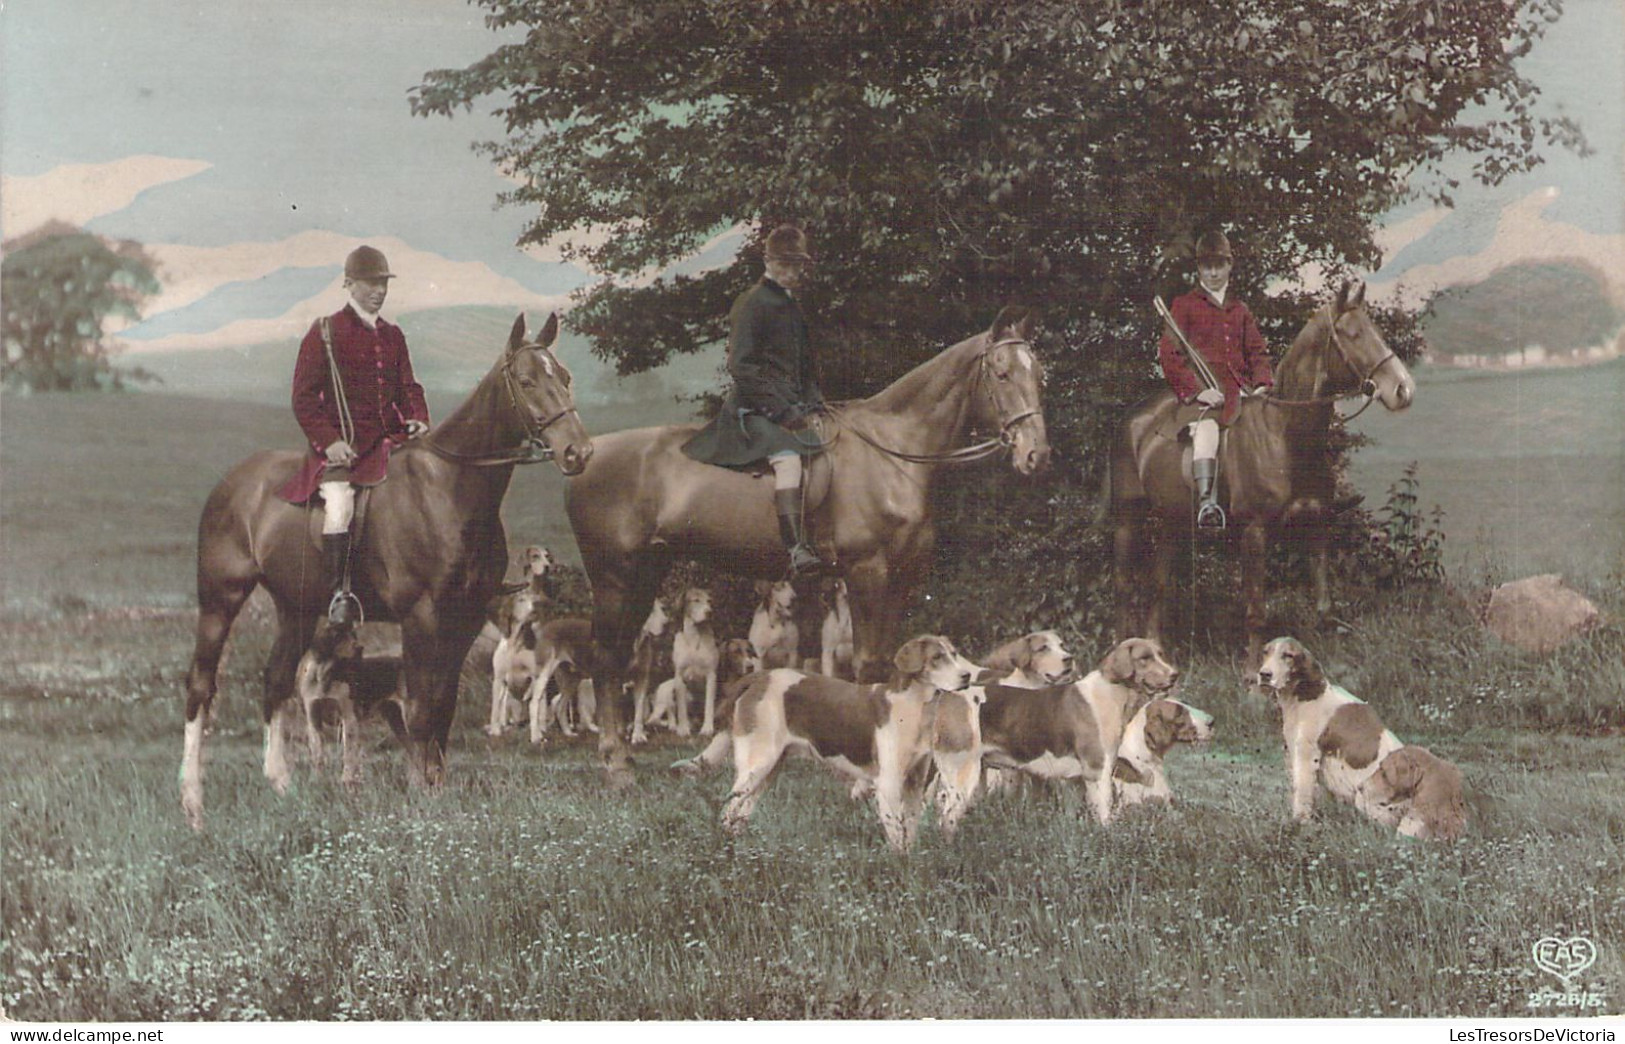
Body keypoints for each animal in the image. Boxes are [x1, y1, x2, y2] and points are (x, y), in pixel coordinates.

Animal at [179, 312, 598, 826]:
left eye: (565, 377)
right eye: (526, 380)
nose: (579, 452)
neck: (450, 488)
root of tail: (234, 482)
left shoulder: (462, 620)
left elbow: (442, 706)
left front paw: (438, 788)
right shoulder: (421, 617)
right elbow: (420, 708)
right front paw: (421, 792)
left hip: (296, 608)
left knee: (275, 680)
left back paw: (281, 785)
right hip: (220, 599)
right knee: (201, 686)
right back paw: (193, 802)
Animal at [568, 305, 1053, 777]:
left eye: (1038, 374)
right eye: (1002, 374)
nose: (1037, 455)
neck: (891, 454)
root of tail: (589, 456)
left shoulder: (899, 578)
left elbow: (895, 659)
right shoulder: (867, 572)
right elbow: (868, 662)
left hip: (644, 576)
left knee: (619, 655)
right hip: (613, 578)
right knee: (606, 657)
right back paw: (615, 760)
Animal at [1111, 276, 1417, 666]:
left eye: (1375, 330)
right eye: (1353, 334)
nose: (1404, 389)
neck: (1285, 435)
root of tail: (1134, 417)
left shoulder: (1316, 526)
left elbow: (1324, 605)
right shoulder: (1254, 533)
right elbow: (1256, 610)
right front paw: (1254, 671)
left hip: (1172, 520)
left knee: (1159, 581)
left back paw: (1156, 649)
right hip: (1128, 517)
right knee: (1123, 584)